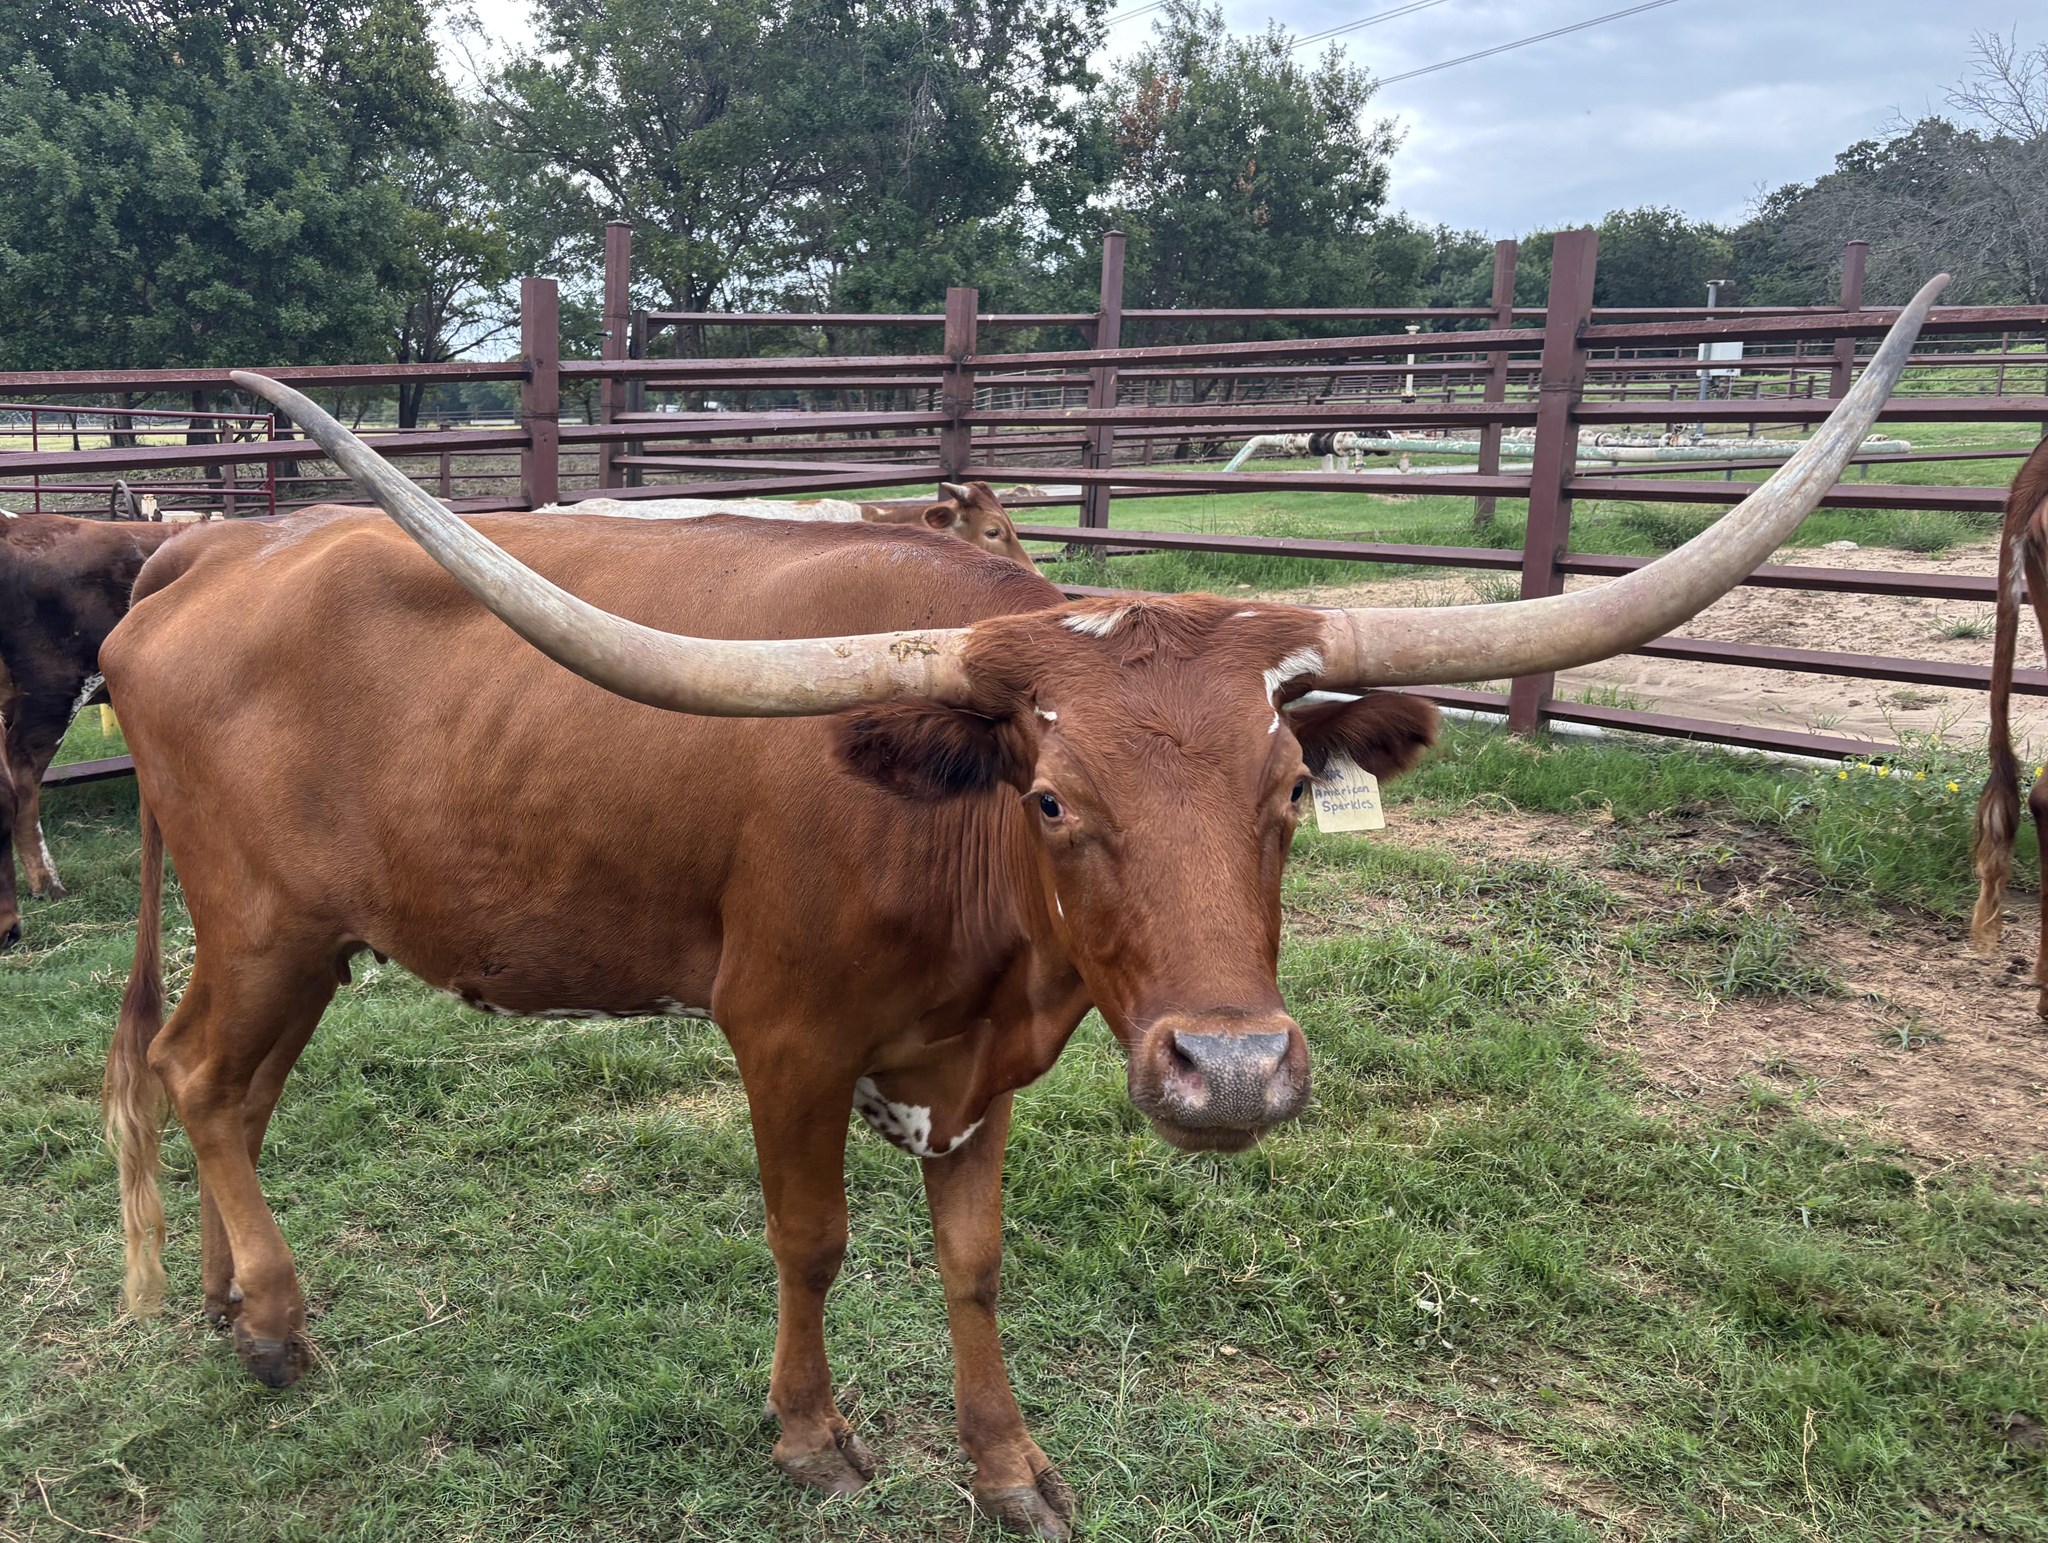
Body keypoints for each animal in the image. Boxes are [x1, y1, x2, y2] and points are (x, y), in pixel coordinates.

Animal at [101, 280, 1936, 1538]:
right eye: (1053, 800)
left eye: (1287, 791)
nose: (1232, 1070)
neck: (977, 902)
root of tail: (212, 549)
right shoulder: (783, 1035)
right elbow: (814, 1235)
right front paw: (811, 1437)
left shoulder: (982, 1065)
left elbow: (972, 1260)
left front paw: (1008, 1463)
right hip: (264, 919)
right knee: (202, 1082)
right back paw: (274, 1326)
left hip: (303, 936)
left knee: (221, 1087)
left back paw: (230, 1301)